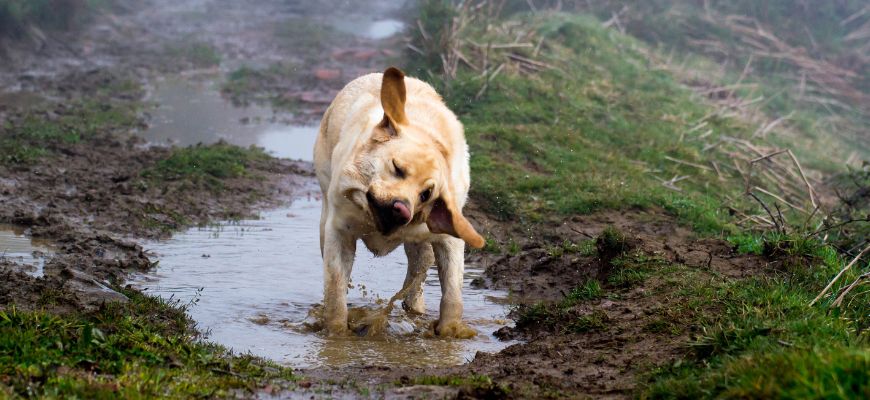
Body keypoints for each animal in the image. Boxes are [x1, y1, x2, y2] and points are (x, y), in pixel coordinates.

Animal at [316, 67, 488, 336]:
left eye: (426, 194)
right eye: (397, 167)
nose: (402, 209)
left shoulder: (448, 239)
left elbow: (452, 295)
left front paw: (449, 332)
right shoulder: (339, 230)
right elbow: (335, 290)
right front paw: (335, 333)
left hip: (421, 245)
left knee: (419, 267)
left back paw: (415, 309)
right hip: (324, 216)